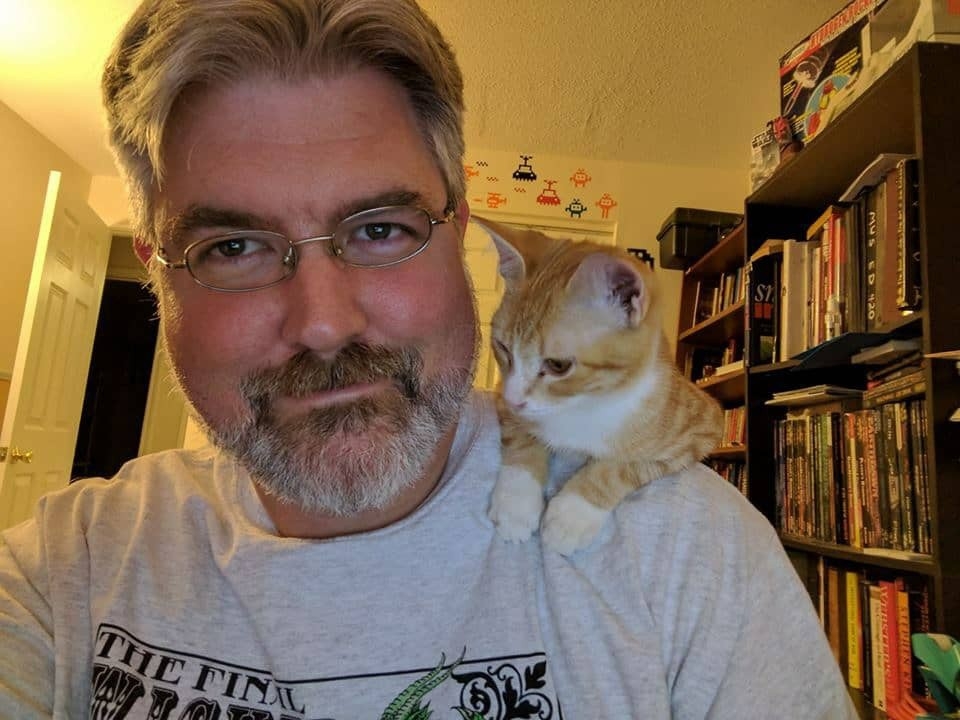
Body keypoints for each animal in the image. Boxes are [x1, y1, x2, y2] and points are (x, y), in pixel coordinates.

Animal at [472, 216, 723, 556]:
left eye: (558, 365)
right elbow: (521, 440)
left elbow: (623, 466)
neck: (585, 402)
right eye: (502, 348)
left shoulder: (702, 428)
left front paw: (571, 517)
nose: (515, 400)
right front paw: (517, 506)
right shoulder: (502, 396)